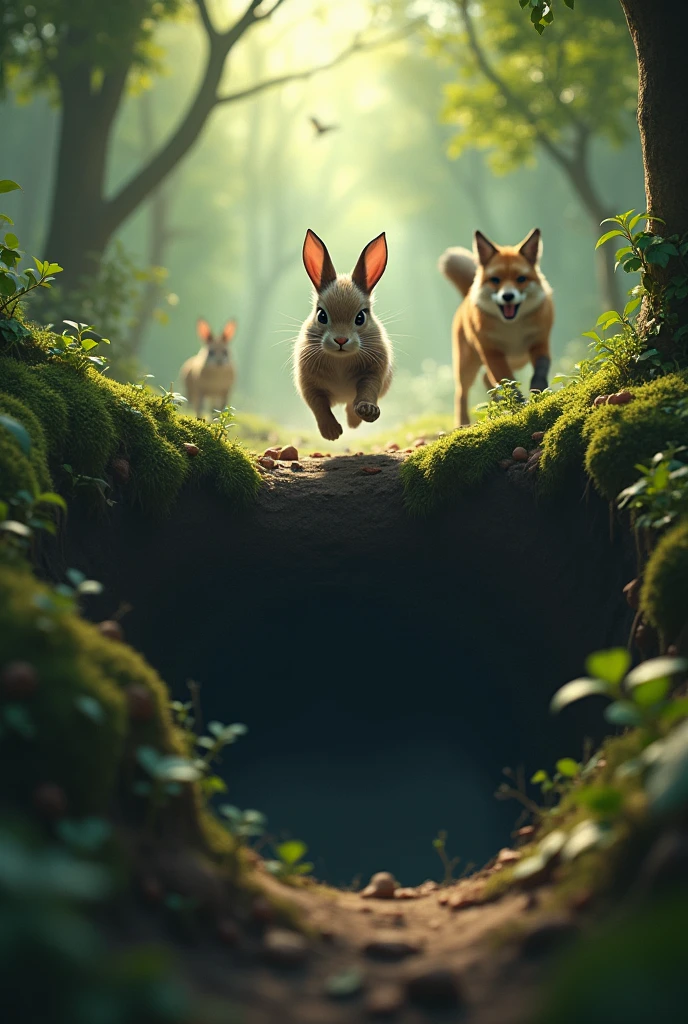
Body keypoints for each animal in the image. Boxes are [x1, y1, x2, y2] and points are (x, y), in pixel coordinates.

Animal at [294, 229, 393, 441]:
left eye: (361, 317)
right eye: (321, 315)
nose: (340, 340)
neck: (340, 359)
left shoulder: (373, 373)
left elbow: (368, 390)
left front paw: (368, 411)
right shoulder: (310, 384)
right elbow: (319, 406)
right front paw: (331, 432)